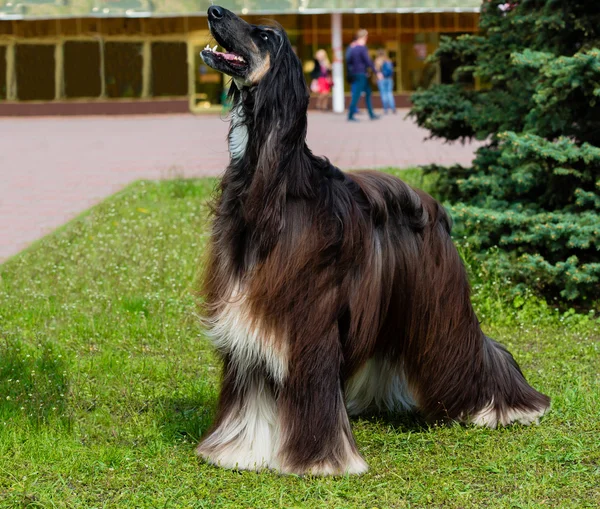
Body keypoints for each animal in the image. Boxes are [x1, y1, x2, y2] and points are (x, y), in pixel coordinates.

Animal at [196, 6, 548, 476]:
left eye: (266, 36)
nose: (214, 10)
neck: (274, 183)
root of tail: (434, 205)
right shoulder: (252, 318)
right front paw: (241, 453)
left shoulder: (306, 320)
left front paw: (319, 461)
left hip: (438, 302)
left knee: (471, 347)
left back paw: (506, 408)